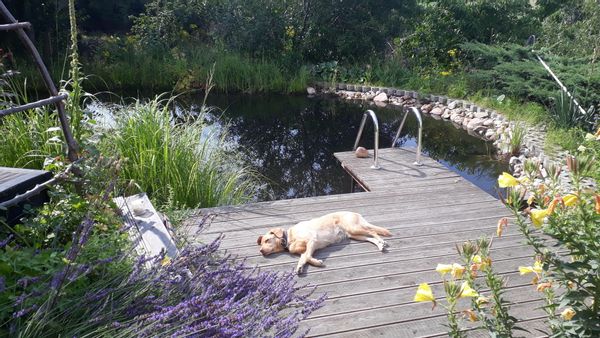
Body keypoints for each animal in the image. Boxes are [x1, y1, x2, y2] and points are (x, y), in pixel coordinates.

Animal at [255, 211, 392, 274]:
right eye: (261, 244)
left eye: (267, 240)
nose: (261, 251)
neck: (289, 237)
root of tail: (353, 212)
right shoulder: (306, 248)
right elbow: (304, 256)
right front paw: (302, 266)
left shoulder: (312, 240)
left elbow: (306, 256)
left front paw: (315, 263)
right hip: (354, 235)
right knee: (370, 238)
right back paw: (380, 245)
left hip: (354, 228)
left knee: (373, 232)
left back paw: (382, 242)